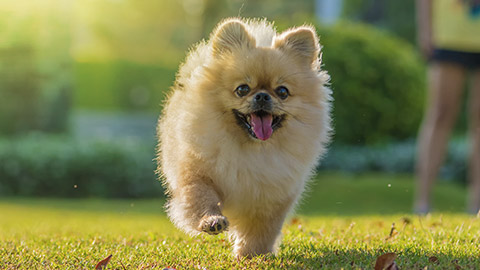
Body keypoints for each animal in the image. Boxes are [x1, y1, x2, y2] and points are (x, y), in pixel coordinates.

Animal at [158, 17, 330, 258]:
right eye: (242, 89)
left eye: (282, 92)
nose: (263, 96)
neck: (250, 150)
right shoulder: (196, 175)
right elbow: (201, 199)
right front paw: (212, 221)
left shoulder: (272, 196)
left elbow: (262, 228)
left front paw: (252, 253)